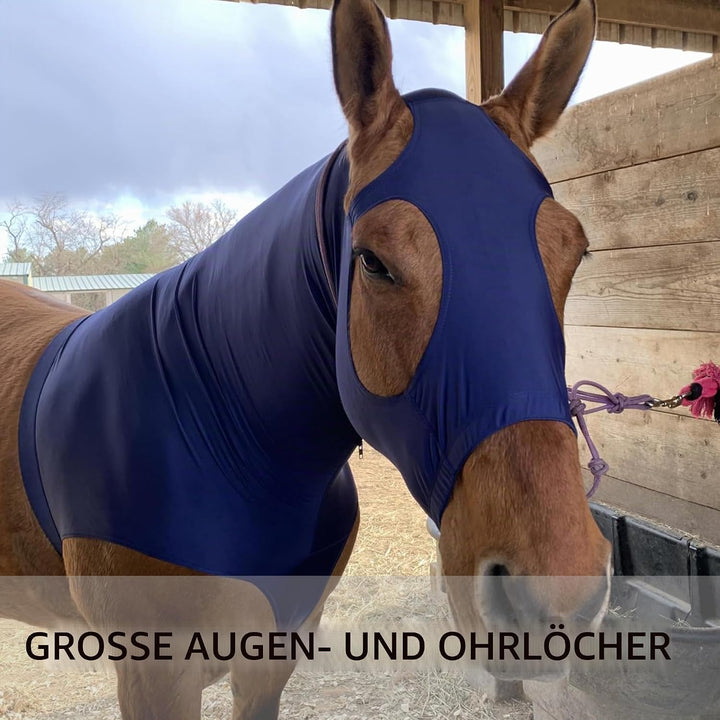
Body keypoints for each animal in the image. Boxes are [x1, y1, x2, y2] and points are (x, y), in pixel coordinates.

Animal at [0, 0, 610, 716]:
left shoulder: (274, 652)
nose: (555, 596)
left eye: (574, 250)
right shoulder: (155, 673)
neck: (219, 432)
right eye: (373, 261)